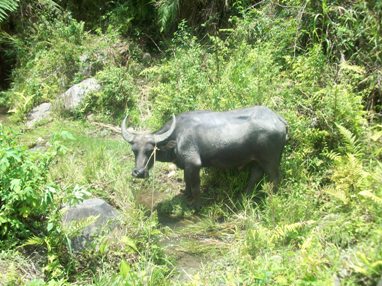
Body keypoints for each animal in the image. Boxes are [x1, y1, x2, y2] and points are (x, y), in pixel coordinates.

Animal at [121, 106, 286, 203]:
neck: (177, 135)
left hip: (270, 160)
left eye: (150, 150)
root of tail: (279, 120)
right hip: (257, 160)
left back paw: (272, 197)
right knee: (255, 176)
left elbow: (195, 186)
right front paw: (186, 195)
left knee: (275, 177)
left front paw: (196, 205)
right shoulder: (187, 165)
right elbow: (186, 181)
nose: (138, 172)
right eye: (134, 150)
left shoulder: (194, 163)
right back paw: (245, 196)